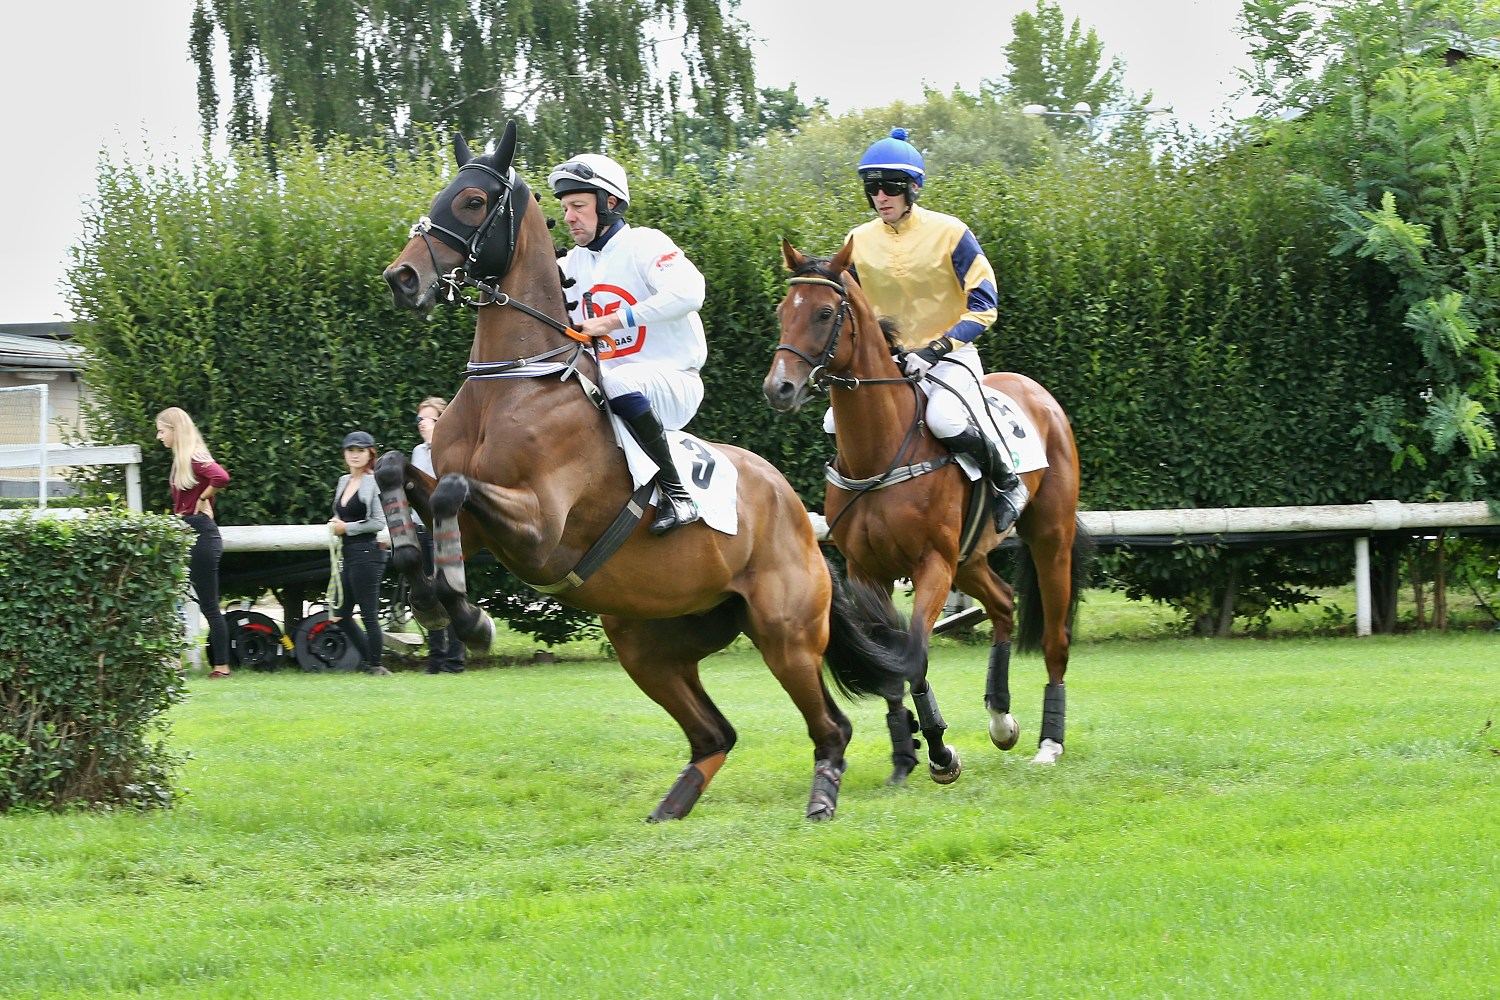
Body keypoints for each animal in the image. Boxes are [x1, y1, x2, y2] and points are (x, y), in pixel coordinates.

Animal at [377, 124, 920, 822]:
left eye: (472, 200)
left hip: (786, 634)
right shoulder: (477, 528)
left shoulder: (538, 530)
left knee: (831, 726)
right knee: (715, 733)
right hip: (649, 643)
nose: (402, 277)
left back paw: (821, 798)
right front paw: (424, 591)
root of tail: (797, 514)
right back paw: (670, 810)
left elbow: (451, 489)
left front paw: (470, 618)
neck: (516, 381)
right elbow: (398, 471)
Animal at [763, 239, 1090, 783]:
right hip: (970, 557)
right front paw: (903, 753)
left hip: (1050, 538)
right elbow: (890, 659)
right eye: (782, 312)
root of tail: (1036, 392)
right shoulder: (866, 569)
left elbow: (914, 651)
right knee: (1002, 604)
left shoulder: (932, 563)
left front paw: (939, 749)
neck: (880, 451)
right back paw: (1001, 717)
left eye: (826, 312)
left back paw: (1050, 741)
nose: (779, 389)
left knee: (1054, 638)